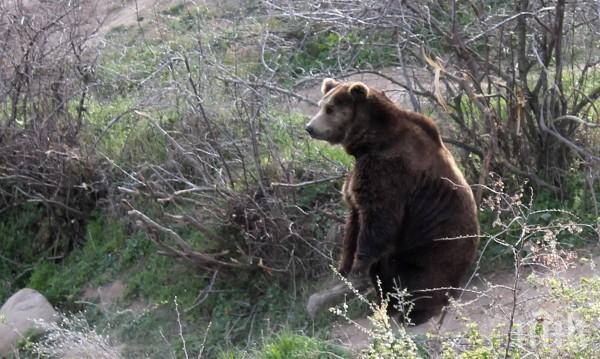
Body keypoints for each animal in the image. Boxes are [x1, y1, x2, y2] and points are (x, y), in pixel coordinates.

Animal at [308, 79, 480, 326]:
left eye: (330, 109)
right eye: (320, 105)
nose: (310, 127)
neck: (370, 141)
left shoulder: (389, 171)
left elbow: (379, 219)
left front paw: (357, 267)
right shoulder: (360, 176)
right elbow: (354, 220)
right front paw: (344, 266)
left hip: (431, 250)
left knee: (423, 281)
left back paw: (416, 313)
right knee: (384, 274)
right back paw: (386, 308)